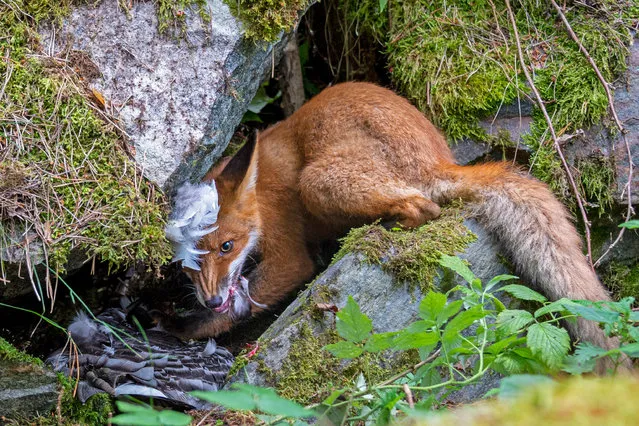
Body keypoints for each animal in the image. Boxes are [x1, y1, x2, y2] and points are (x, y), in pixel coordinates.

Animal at [166, 80, 620, 356]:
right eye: (188, 264)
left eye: (227, 246)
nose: (210, 298)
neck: (261, 194)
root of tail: (439, 159)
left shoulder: (288, 254)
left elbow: (244, 302)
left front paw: (183, 328)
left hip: (318, 181)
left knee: (424, 207)